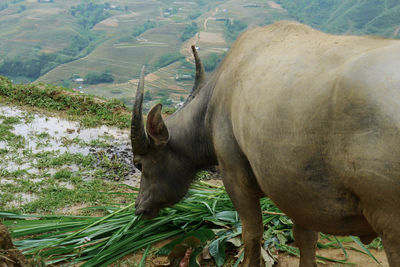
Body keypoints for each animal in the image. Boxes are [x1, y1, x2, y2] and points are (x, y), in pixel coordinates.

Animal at [132, 21, 400, 267]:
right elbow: (305, 238)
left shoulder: (235, 177)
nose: (139, 208)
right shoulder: (297, 191)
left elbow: (252, 234)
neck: (216, 102)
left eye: (139, 163)